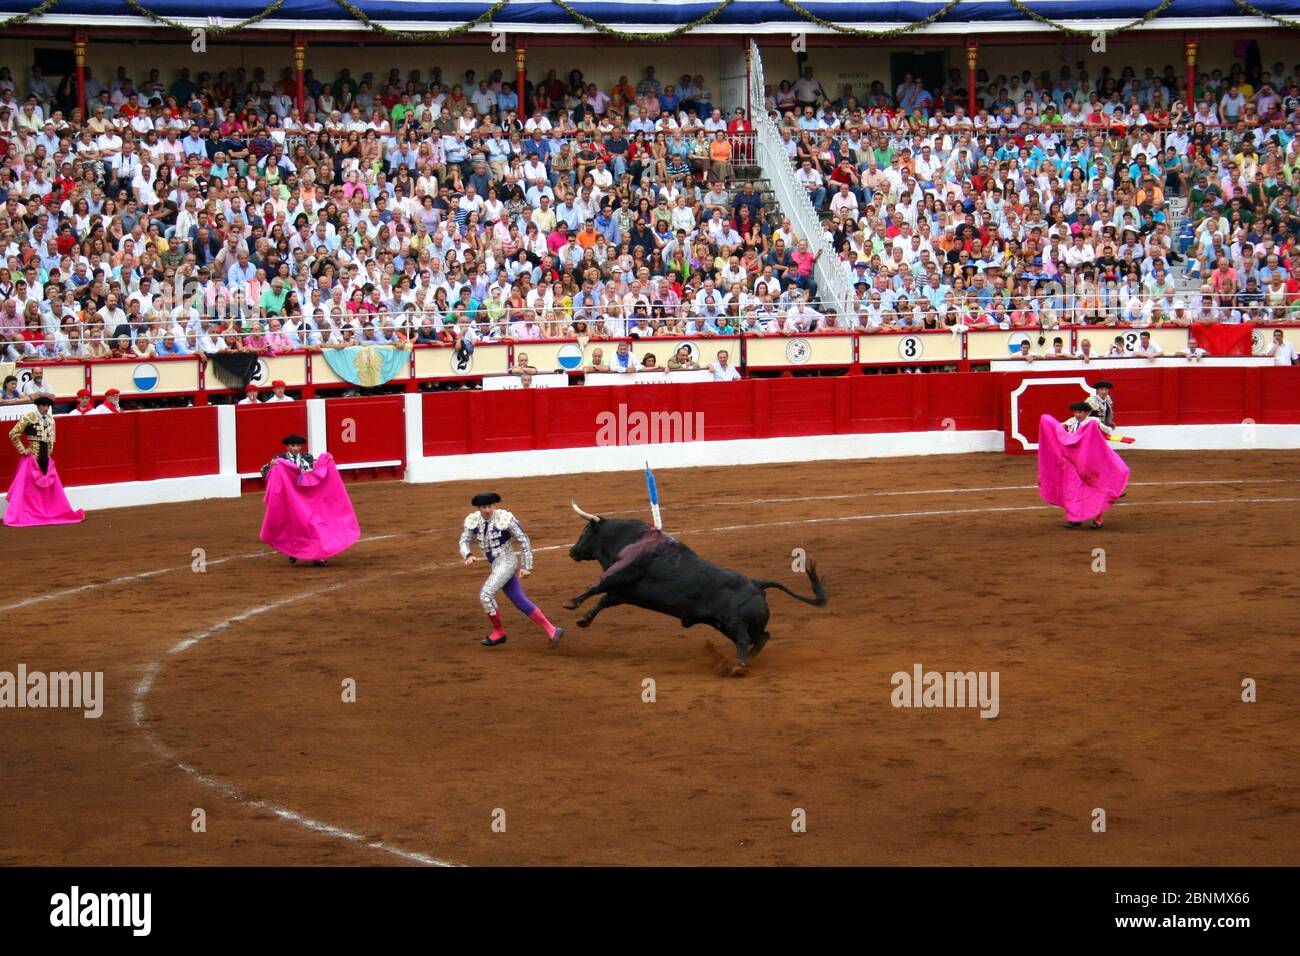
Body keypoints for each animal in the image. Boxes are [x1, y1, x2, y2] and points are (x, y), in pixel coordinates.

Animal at [564, 509, 826, 665]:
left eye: (585, 531)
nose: (572, 551)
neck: (629, 537)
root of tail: (757, 584)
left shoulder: (621, 571)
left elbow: (597, 586)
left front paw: (571, 603)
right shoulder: (625, 591)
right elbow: (604, 600)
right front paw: (584, 620)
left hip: (734, 622)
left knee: (745, 639)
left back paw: (739, 665)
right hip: (725, 624)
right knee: (761, 637)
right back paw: (745, 660)